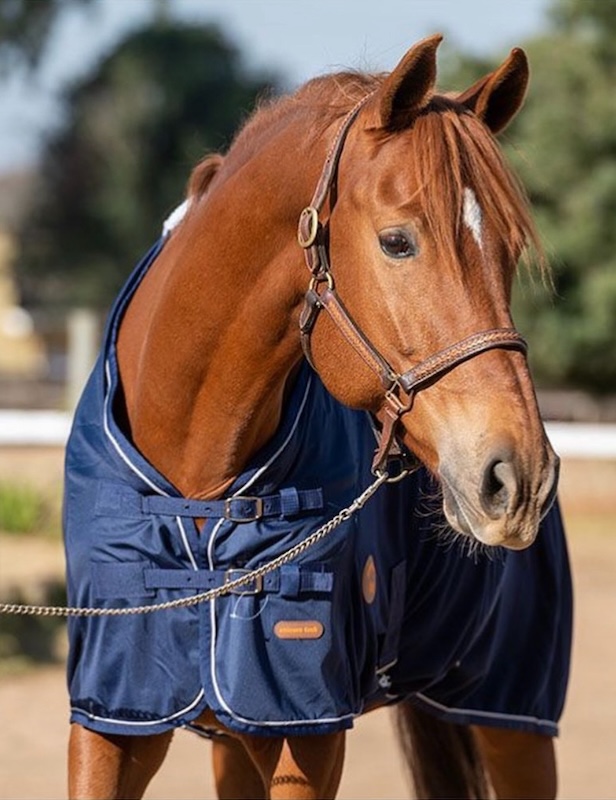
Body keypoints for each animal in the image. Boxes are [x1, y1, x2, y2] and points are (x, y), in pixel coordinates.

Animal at [63, 34, 572, 799]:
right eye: (397, 241)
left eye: (510, 252)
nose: (520, 478)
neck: (194, 486)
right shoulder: (112, 717)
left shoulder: (303, 731)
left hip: (512, 714)